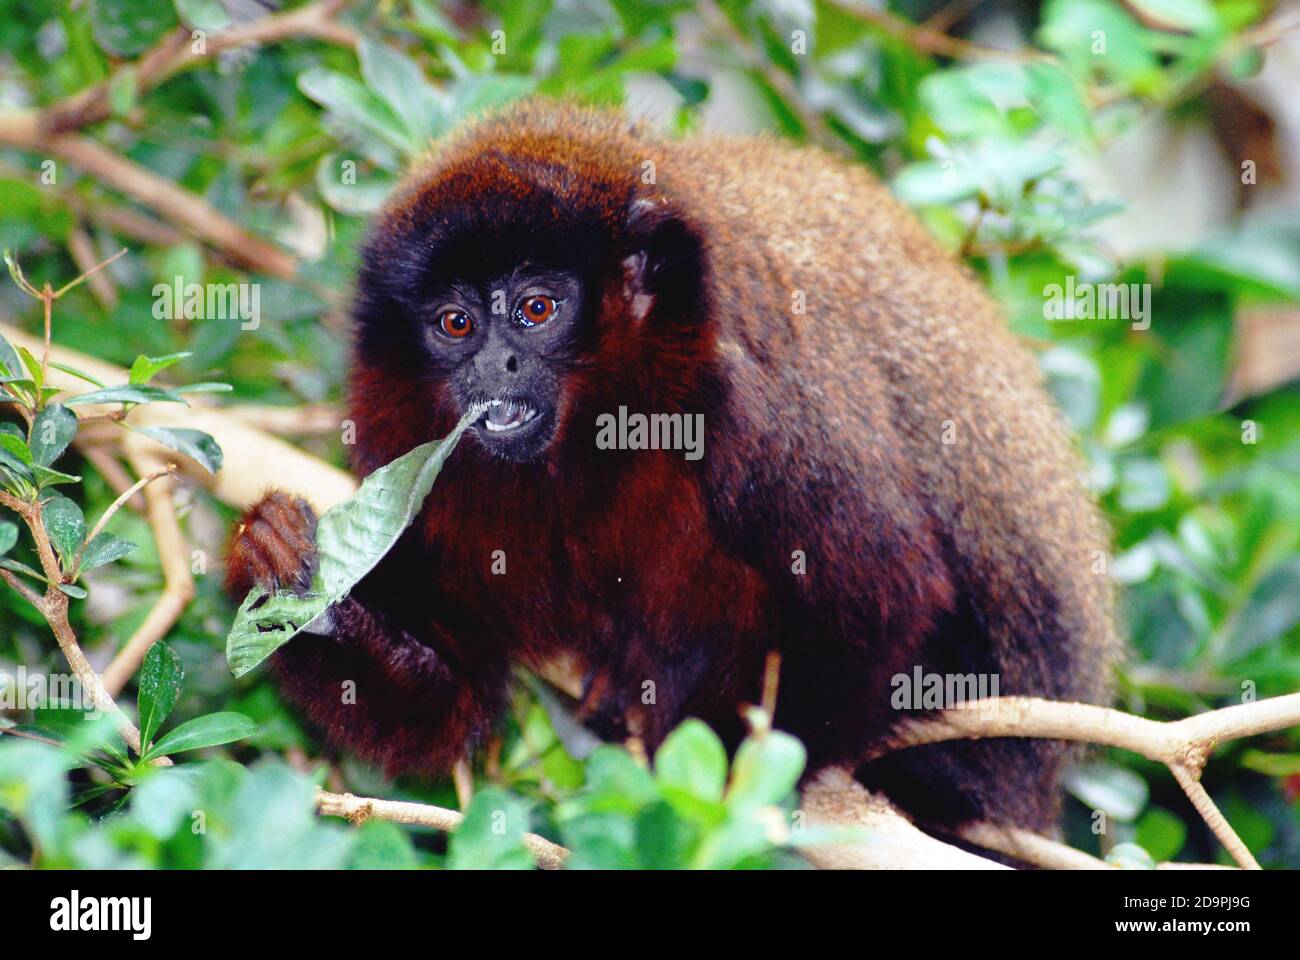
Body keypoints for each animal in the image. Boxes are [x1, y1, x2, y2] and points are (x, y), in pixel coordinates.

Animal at [223, 97, 1118, 832]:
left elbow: (882, 591)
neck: (601, 423)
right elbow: (455, 692)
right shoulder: (402, 433)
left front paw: (724, 775)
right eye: (455, 324)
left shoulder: (753, 396)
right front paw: (290, 573)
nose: (493, 368)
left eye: (537, 309)